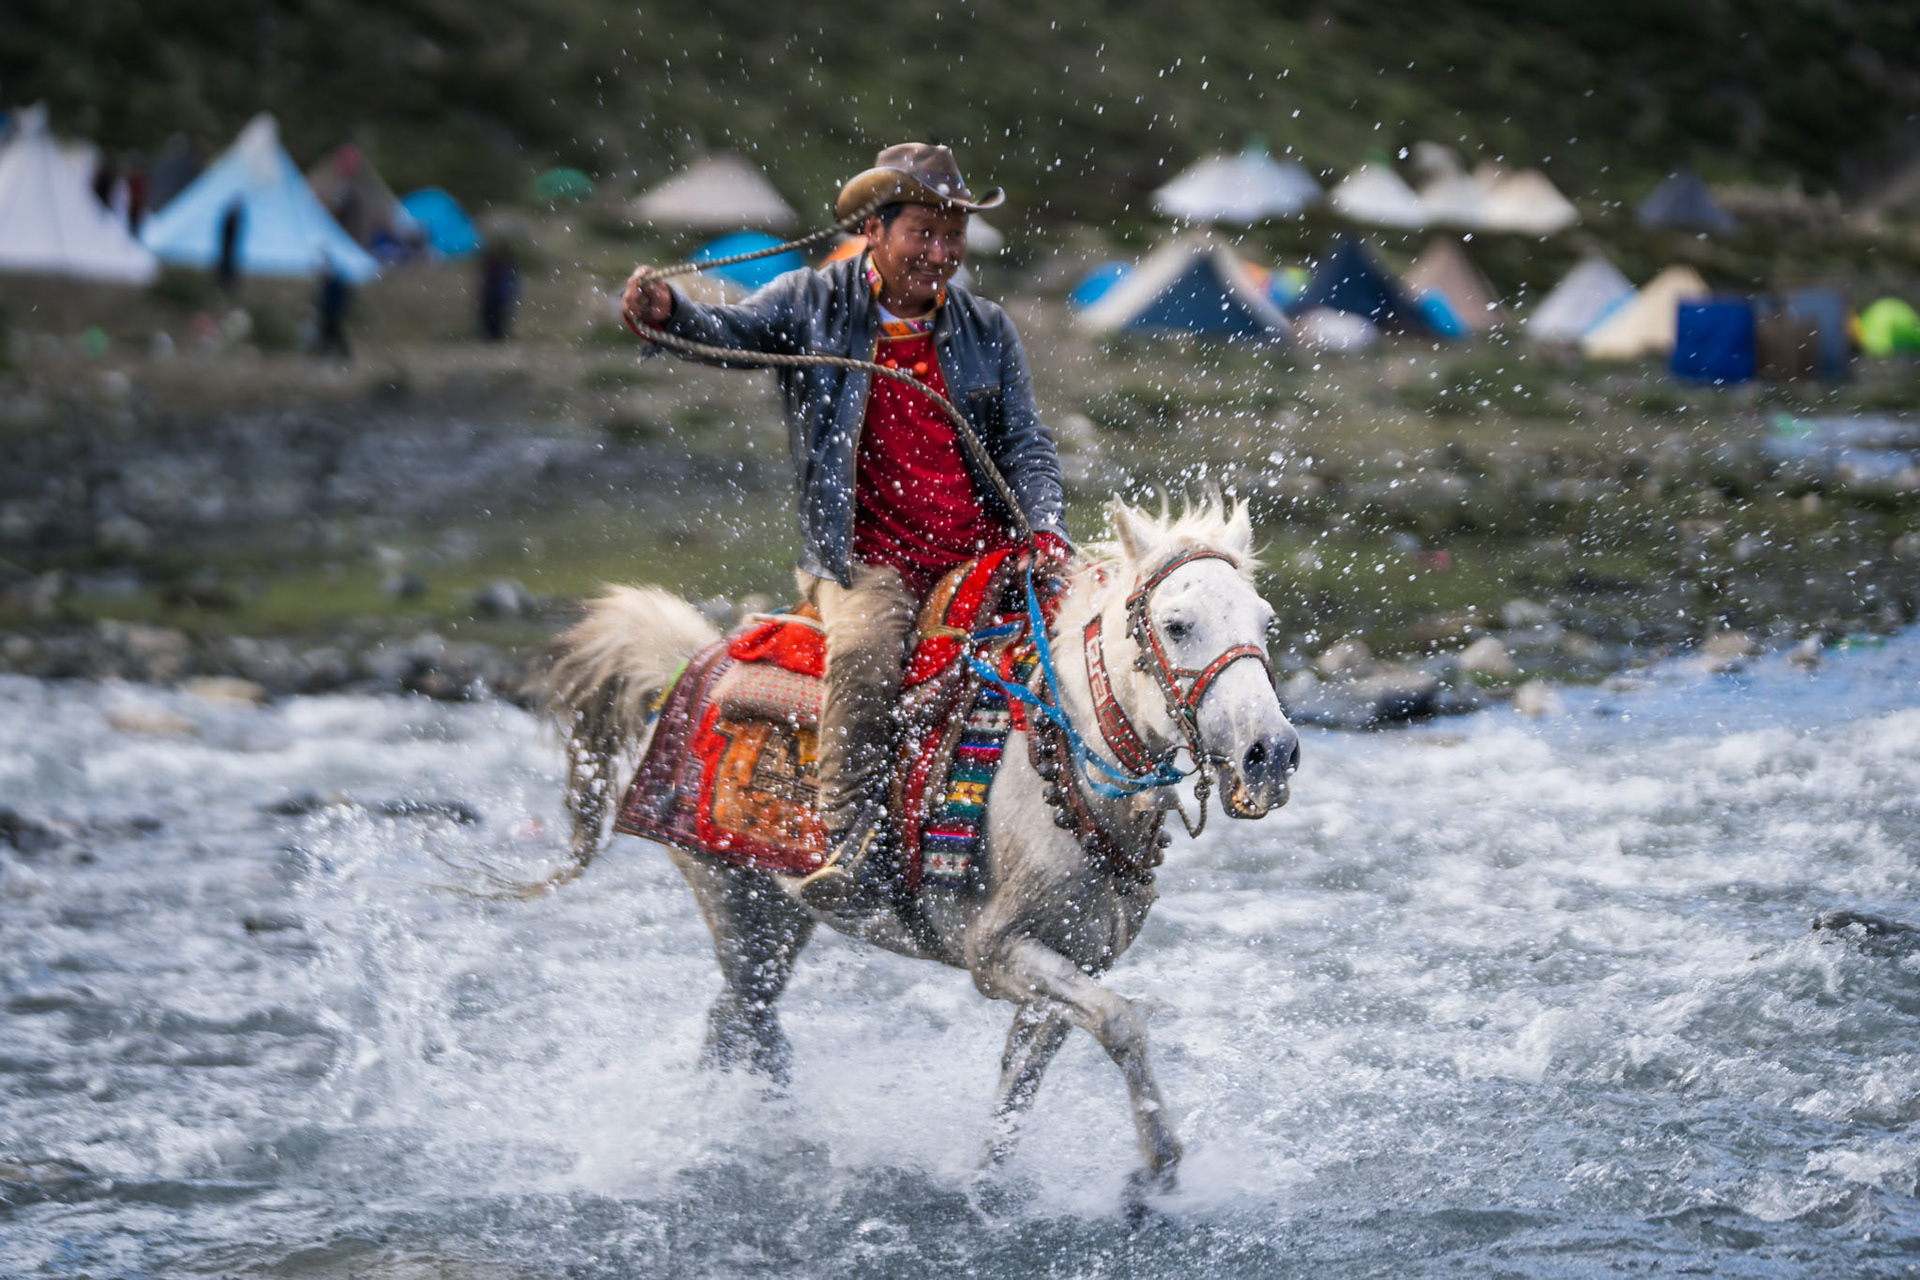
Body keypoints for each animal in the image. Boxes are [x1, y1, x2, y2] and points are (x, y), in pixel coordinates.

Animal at [536, 498, 1300, 1183]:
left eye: (1266, 622)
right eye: (1177, 624)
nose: (1271, 753)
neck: (1064, 772)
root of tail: (690, 664)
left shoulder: (1072, 962)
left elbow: (1019, 1086)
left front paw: (995, 1189)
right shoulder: (996, 953)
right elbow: (1122, 1023)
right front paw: (1157, 1168)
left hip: (777, 915)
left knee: (738, 1020)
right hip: (731, 899)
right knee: (744, 1019)